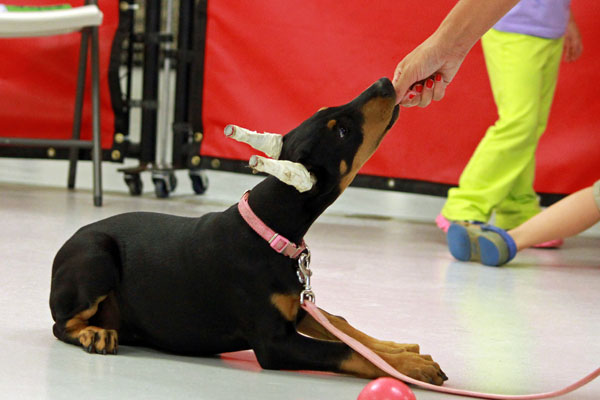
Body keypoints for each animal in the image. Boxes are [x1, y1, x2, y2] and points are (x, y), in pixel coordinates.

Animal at [50, 78, 446, 384]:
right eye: (343, 131)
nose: (385, 82)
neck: (269, 231)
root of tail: (63, 249)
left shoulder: (297, 304)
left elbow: (343, 326)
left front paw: (399, 349)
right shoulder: (275, 343)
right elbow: (346, 351)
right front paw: (409, 367)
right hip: (96, 256)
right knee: (61, 324)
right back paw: (95, 334)